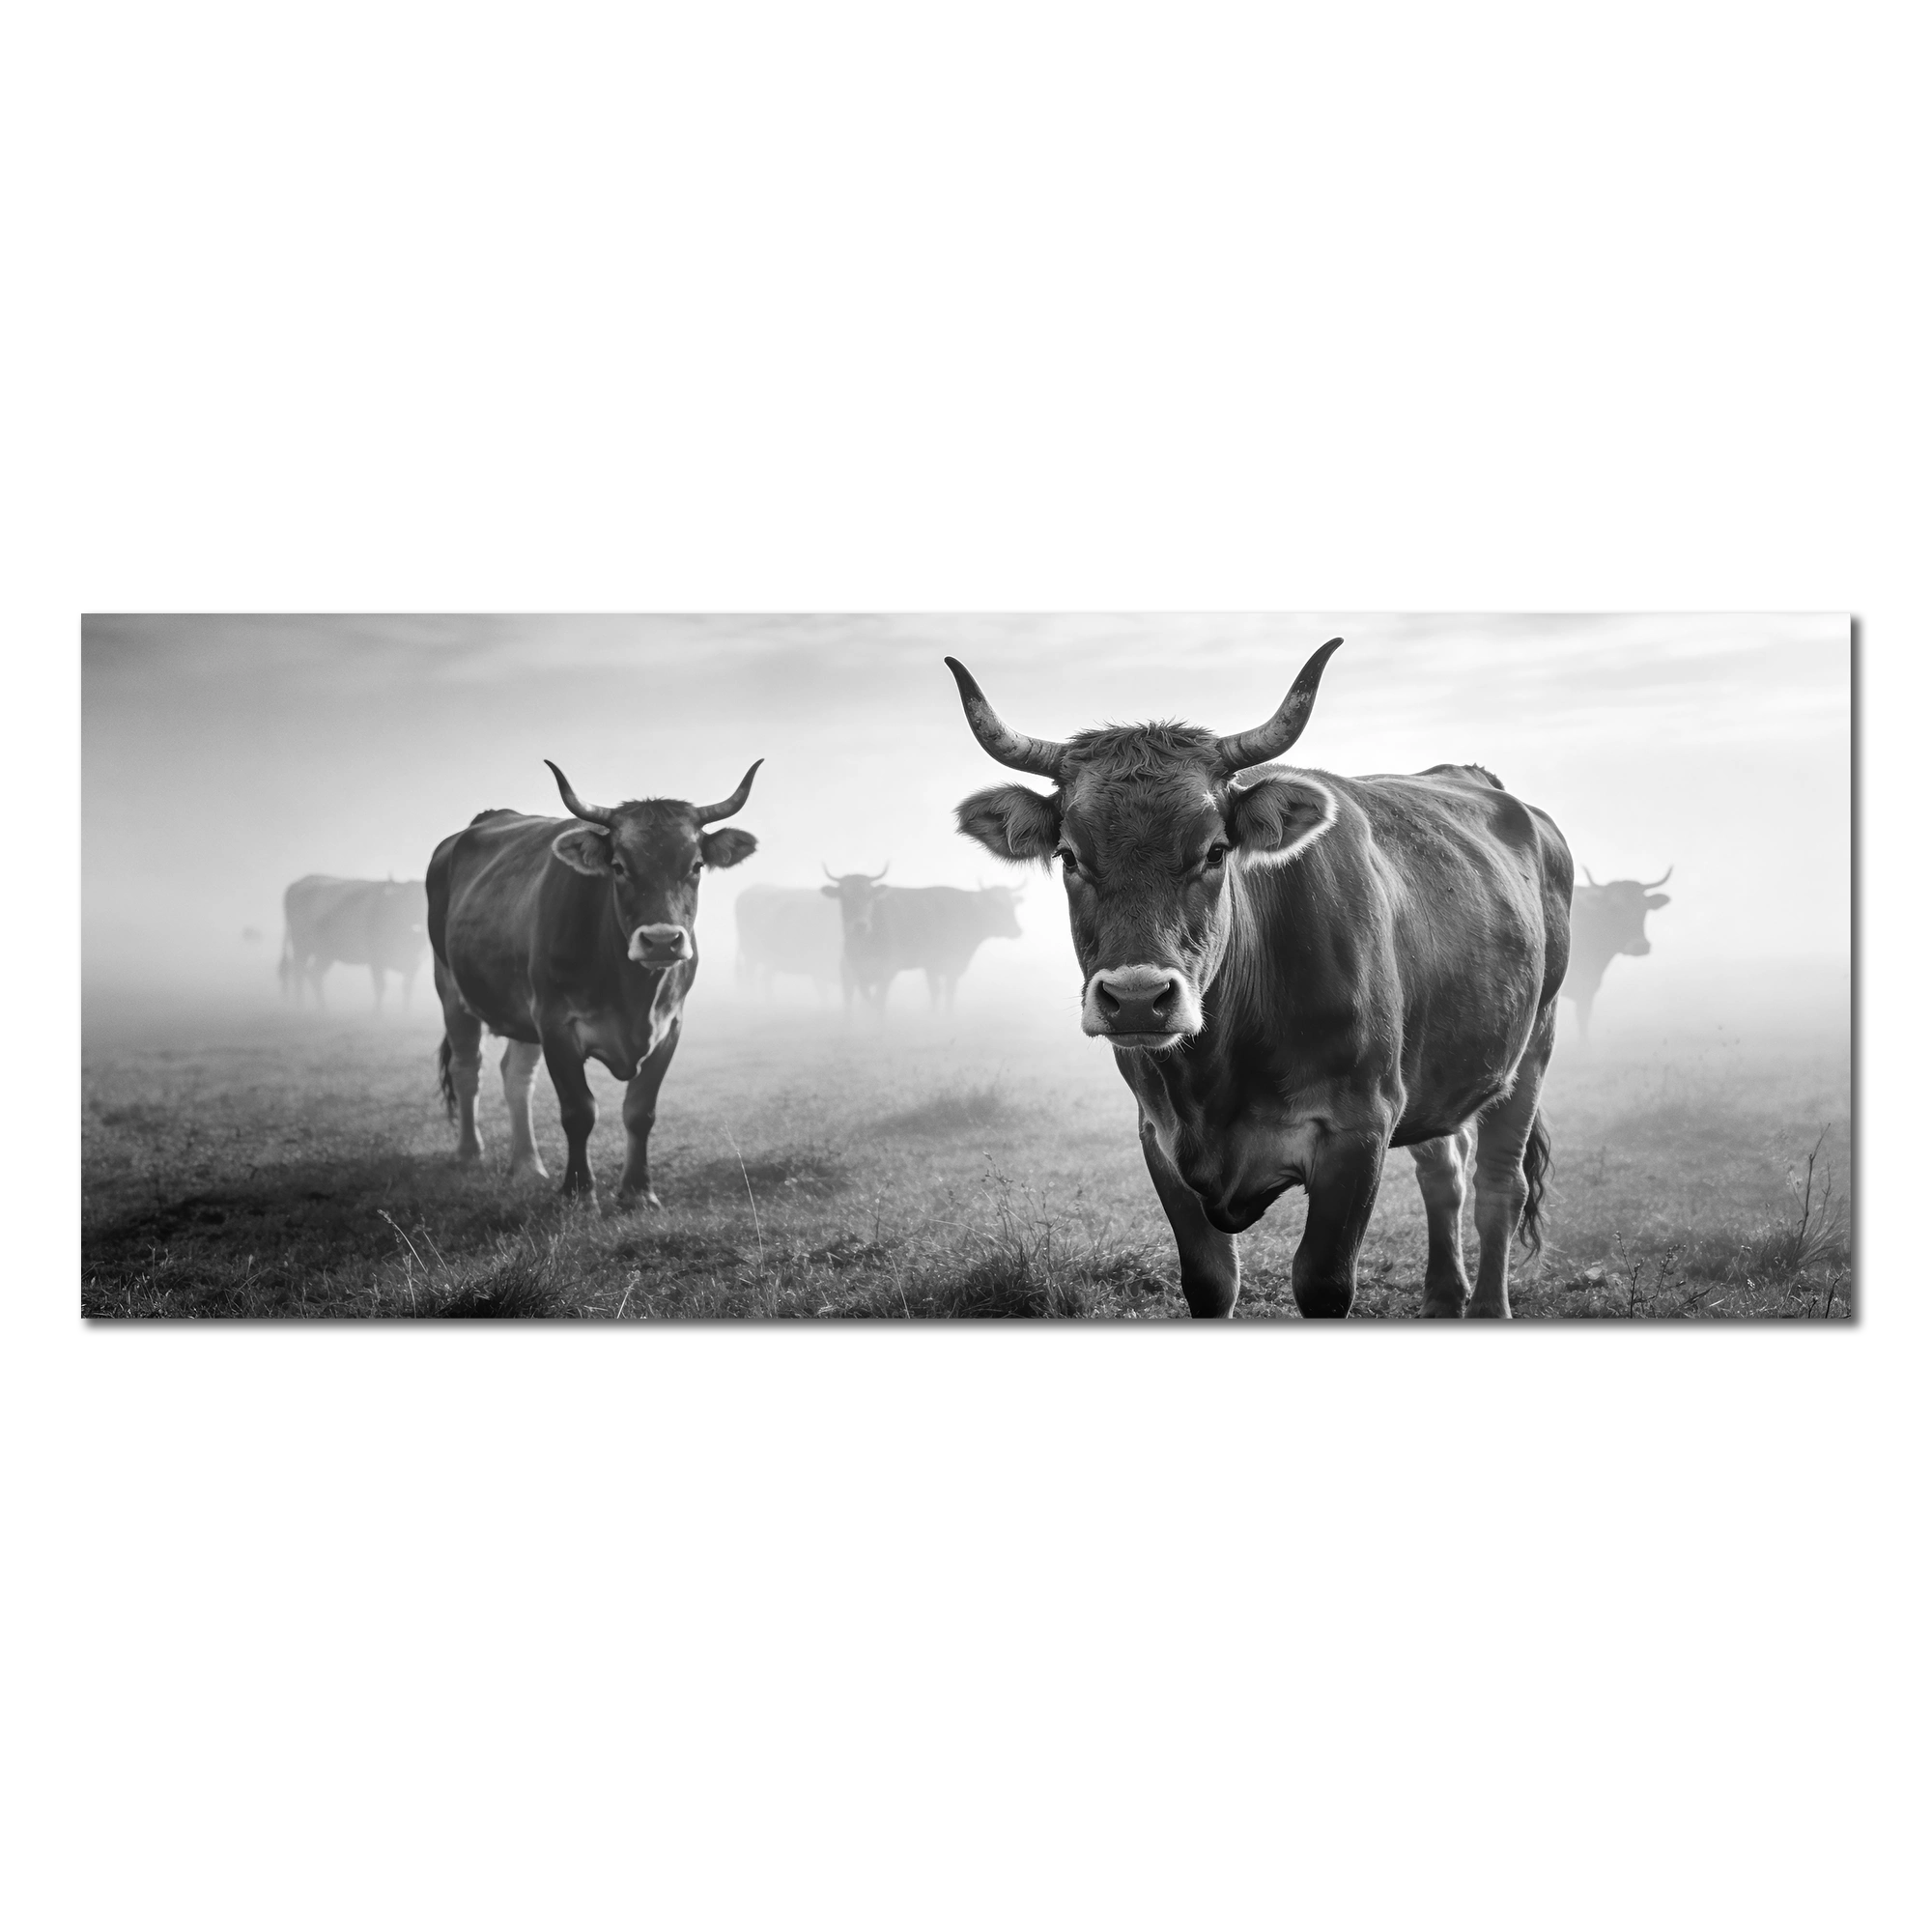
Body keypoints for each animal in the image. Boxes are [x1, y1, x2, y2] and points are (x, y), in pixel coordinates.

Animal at [280, 876, 428, 1012]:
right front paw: (377, 1014)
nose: (419, 924)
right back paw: (301, 1006)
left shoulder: (415, 963)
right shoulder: (376, 959)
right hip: (301, 947)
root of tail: (299, 883)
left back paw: (323, 1008)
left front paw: (406, 1012)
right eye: (407, 898)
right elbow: (380, 986)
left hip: (325, 953)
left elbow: (407, 988)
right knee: (299, 974)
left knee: (314, 974)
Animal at [427, 757, 761, 1204]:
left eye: (696, 866)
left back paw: (528, 1165)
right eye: (618, 866)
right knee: (468, 1068)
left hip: (521, 1009)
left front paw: (638, 1191)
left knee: (516, 1077)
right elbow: (579, 1111)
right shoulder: (557, 1026)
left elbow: (640, 1112)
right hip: (450, 988)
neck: (632, 994)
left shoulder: (669, 1028)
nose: (661, 940)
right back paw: (469, 1154)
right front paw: (579, 1190)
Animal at [946, 639, 1573, 1321]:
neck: (1217, 1074)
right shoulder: (1160, 1139)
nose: (1138, 1000)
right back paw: (1441, 1298)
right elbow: (1212, 1280)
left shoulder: (1359, 1131)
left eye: (1216, 850)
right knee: (1445, 1176)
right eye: (1068, 856)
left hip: (1532, 1049)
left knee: (1498, 1188)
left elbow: (1323, 1281)